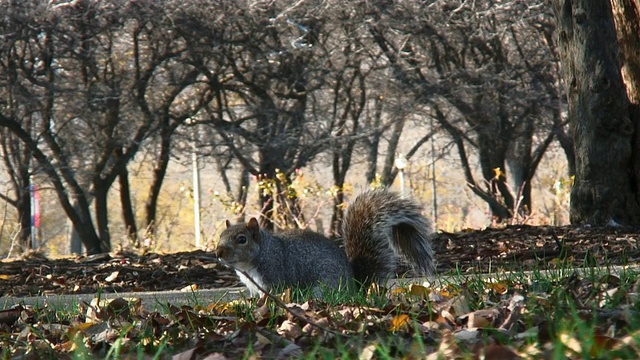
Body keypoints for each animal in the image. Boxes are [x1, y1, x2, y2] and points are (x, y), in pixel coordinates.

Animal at [214, 188, 436, 296]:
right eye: (220, 236)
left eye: (241, 239)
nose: (218, 253)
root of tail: (354, 288)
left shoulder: (275, 276)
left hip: (324, 286)